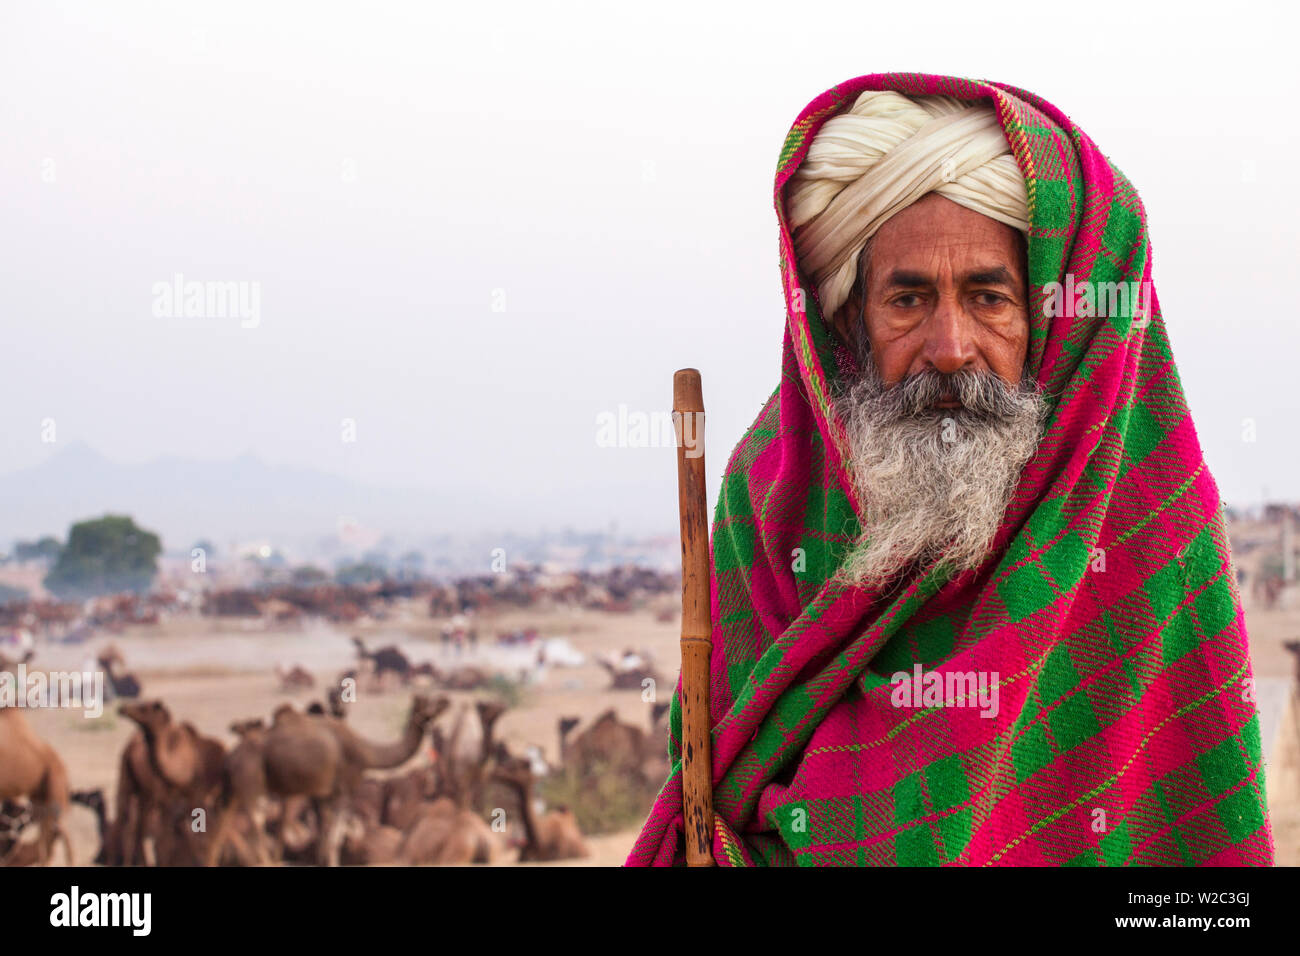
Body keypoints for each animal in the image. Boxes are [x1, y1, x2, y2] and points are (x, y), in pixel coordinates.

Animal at [206, 694, 449, 866]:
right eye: (429, 703)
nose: (446, 700)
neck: (368, 752)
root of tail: (231, 757)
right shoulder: (344, 790)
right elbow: (334, 839)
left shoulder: (321, 794)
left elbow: (323, 836)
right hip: (250, 780)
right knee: (256, 822)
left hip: (232, 788)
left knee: (221, 820)